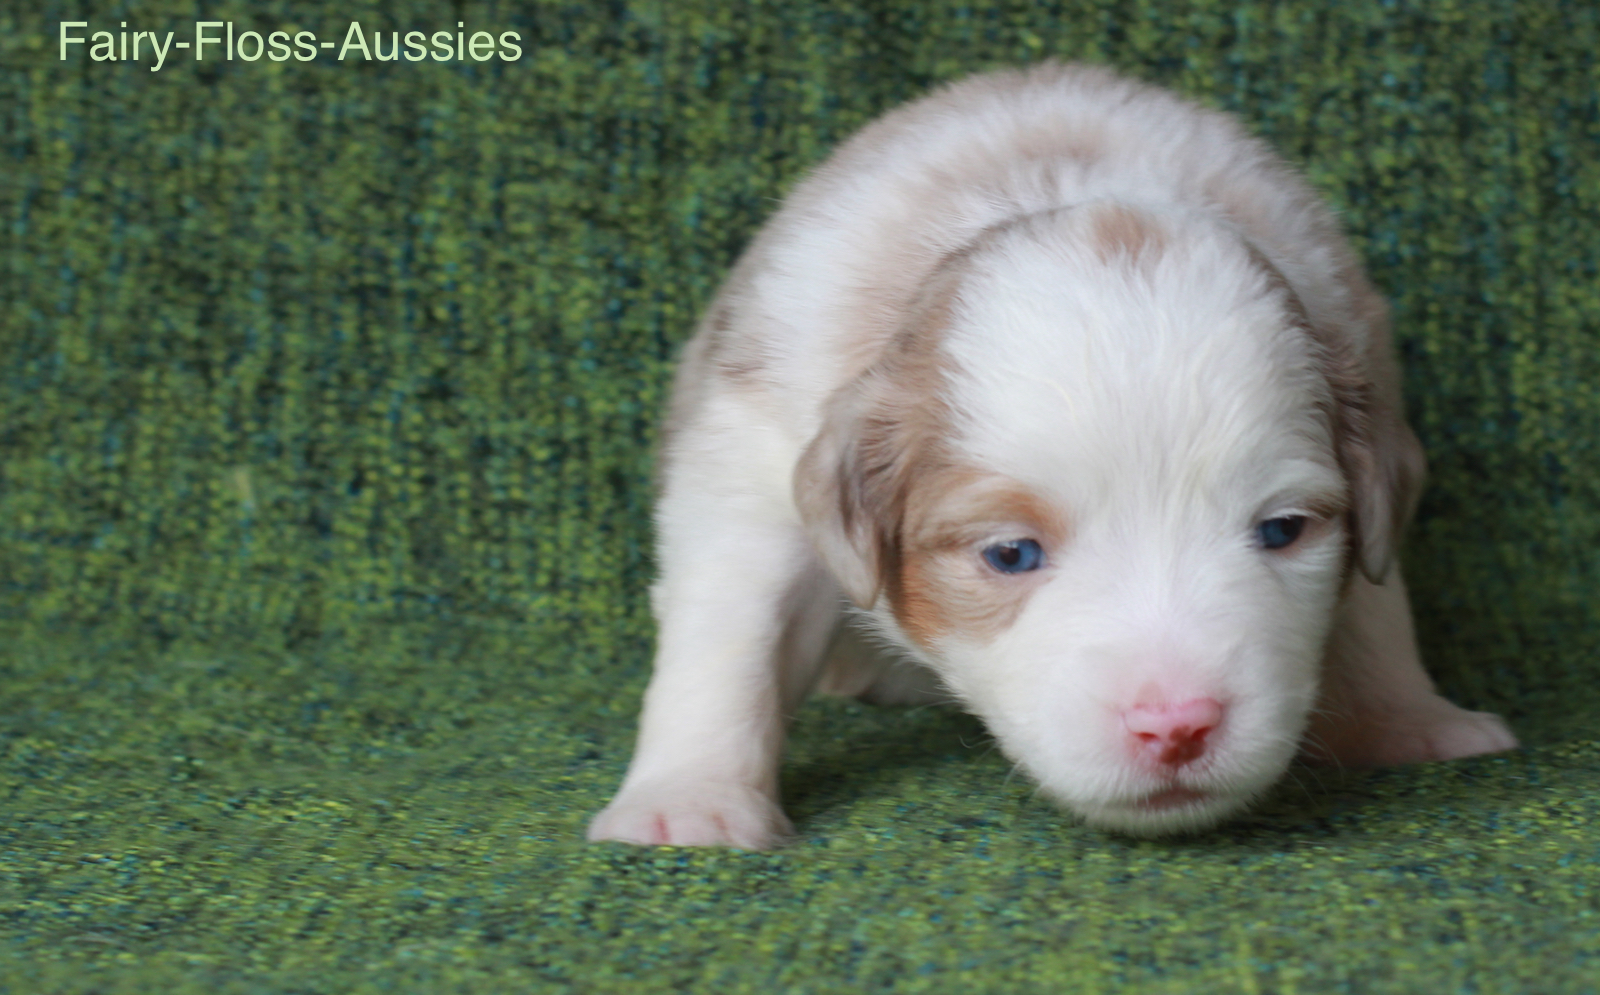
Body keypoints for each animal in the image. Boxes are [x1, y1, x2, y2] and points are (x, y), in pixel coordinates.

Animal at [588, 62, 1510, 851]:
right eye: (1011, 554)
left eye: (1282, 532)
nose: (1176, 725)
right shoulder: (749, 460)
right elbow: (732, 628)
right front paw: (691, 804)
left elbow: (1376, 610)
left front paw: (1411, 721)